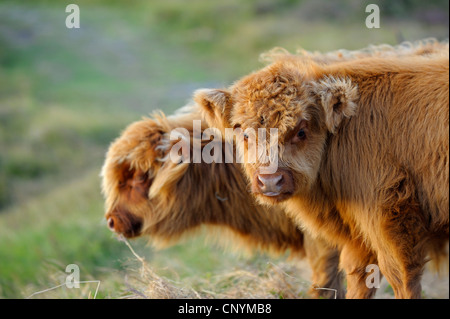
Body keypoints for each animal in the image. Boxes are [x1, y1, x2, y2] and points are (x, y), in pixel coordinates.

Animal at [199, 48, 448, 300]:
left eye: (301, 131)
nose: (270, 181)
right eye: (244, 133)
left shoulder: (391, 218)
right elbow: (358, 276)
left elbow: (401, 276)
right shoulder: (358, 235)